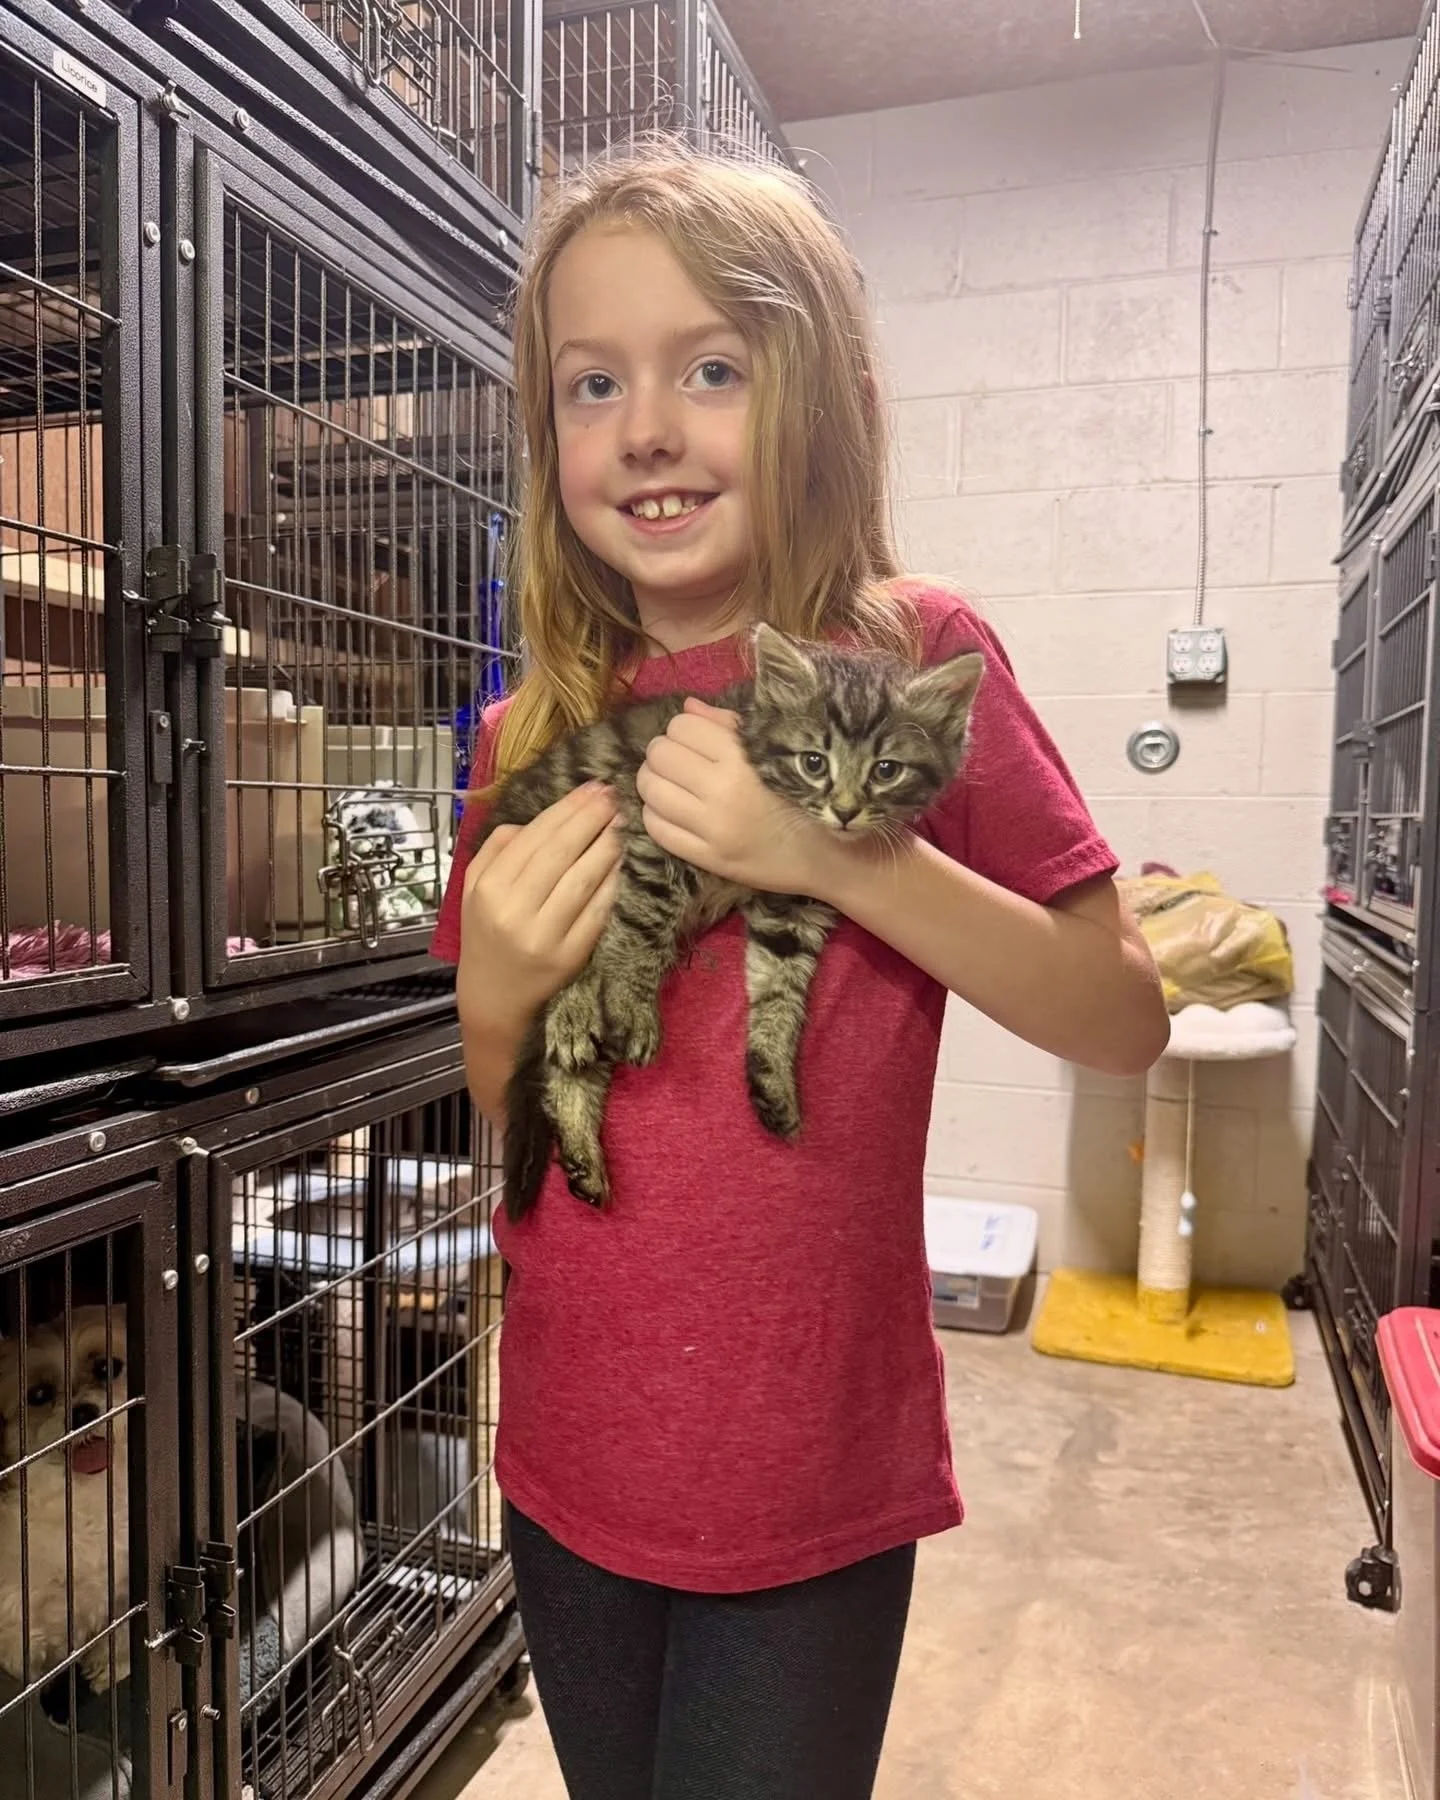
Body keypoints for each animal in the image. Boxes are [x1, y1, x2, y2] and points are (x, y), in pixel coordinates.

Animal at [476, 623, 984, 1221]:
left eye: (886, 770)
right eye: (814, 762)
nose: (844, 811)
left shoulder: (792, 909)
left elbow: (780, 993)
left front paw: (773, 1074)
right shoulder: (653, 827)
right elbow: (642, 924)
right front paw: (630, 1005)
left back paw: (581, 1152)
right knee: (577, 982)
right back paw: (577, 1016)